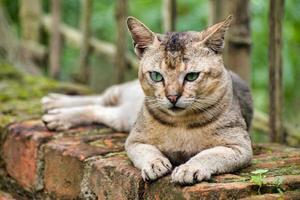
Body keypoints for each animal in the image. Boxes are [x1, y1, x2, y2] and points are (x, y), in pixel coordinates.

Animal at [42, 14, 253, 185]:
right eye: (156, 76)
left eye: (192, 76)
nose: (172, 97)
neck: (181, 124)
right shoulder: (134, 140)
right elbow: (149, 151)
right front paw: (155, 164)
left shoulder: (239, 147)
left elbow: (208, 154)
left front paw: (189, 168)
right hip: (126, 114)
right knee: (100, 100)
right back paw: (56, 107)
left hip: (122, 118)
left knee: (98, 108)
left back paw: (55, 110)